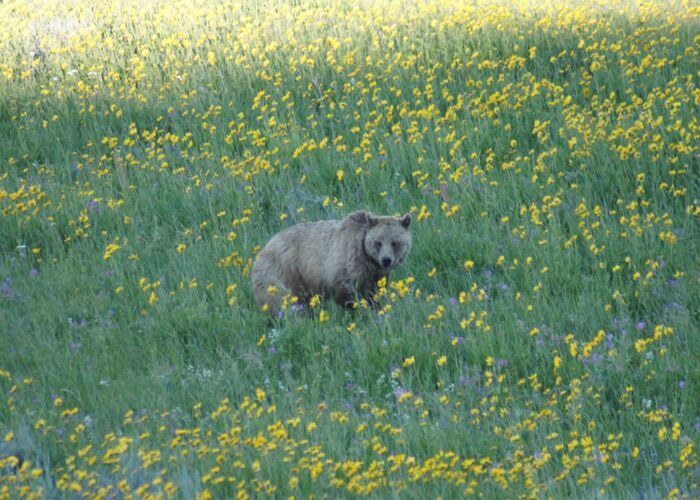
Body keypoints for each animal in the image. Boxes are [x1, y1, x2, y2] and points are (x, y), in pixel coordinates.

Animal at [252, 211, 410, 316]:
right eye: (378, 242)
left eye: (395, 243)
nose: (386, 260)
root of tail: (264, 247)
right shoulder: (345, 266)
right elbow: (346, 295)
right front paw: (354, 313)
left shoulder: (376, 276)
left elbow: (376, 293)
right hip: (281, 272)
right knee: (279, 301)